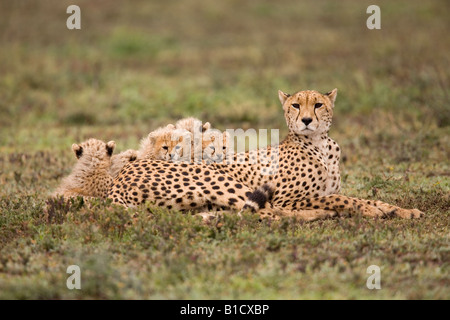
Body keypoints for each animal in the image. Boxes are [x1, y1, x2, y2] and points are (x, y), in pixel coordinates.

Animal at [107, 89, 424, 221]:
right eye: (296, 105)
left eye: (318, 104)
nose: (306, 120)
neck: (319, 143)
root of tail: (118, 181)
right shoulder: (289, 197)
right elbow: (341, 199)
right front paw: (371, 211)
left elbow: (366, 198)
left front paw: (401, 210)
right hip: (222, 182)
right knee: (266, 213)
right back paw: (320, 215)